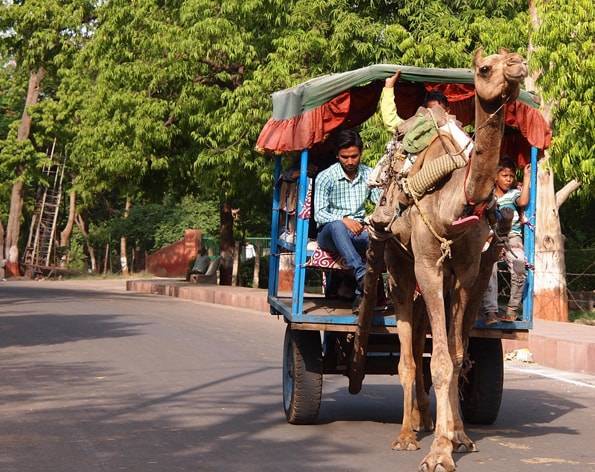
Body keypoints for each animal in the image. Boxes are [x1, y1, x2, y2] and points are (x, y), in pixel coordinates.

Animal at [352, 49, 528, 470]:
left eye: (512, 56)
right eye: (485, 68)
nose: (518, 65)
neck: (454, 204)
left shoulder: (466, 271)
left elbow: (458, 354)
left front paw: (458, 437)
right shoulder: (427, 266)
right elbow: (440, 362)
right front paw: (438, 452)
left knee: (421, 341)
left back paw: (426, 420)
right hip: (398, 264)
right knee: (408, 354)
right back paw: (406, 434)